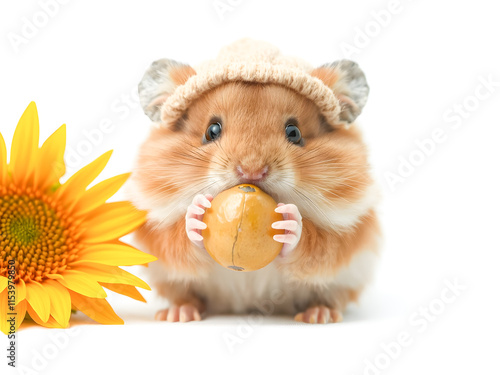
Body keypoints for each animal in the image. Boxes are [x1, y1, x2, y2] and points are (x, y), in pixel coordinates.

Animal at [128, 57, 378, 324]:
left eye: (294, 133)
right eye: (212, 131)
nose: (252, 171)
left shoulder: (347, 231)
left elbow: (316, 242)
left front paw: (290, 221)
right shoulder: (155, 232)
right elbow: (175, 239)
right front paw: (197, 212)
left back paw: (319, 314)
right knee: (187, 296)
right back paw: (178, 314)